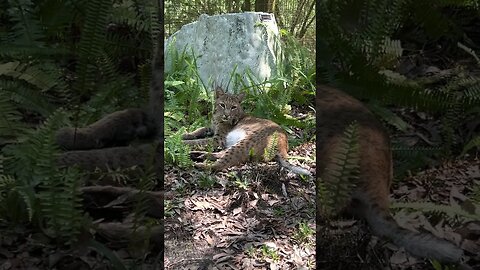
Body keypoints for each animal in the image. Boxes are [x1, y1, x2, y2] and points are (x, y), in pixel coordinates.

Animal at [181, 86, 312, 175]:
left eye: (233, 107)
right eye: (222, 105)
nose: (227, 115)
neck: (218, 118)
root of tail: (284, 146)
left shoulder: (218, 139)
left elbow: (199, 141)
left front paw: (182, 142)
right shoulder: (212, 128)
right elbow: (199, 130)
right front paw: (185, 134)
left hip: (246, 141)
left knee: (220, 164)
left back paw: (197, 164)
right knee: (222, 153)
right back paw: (198, 154)